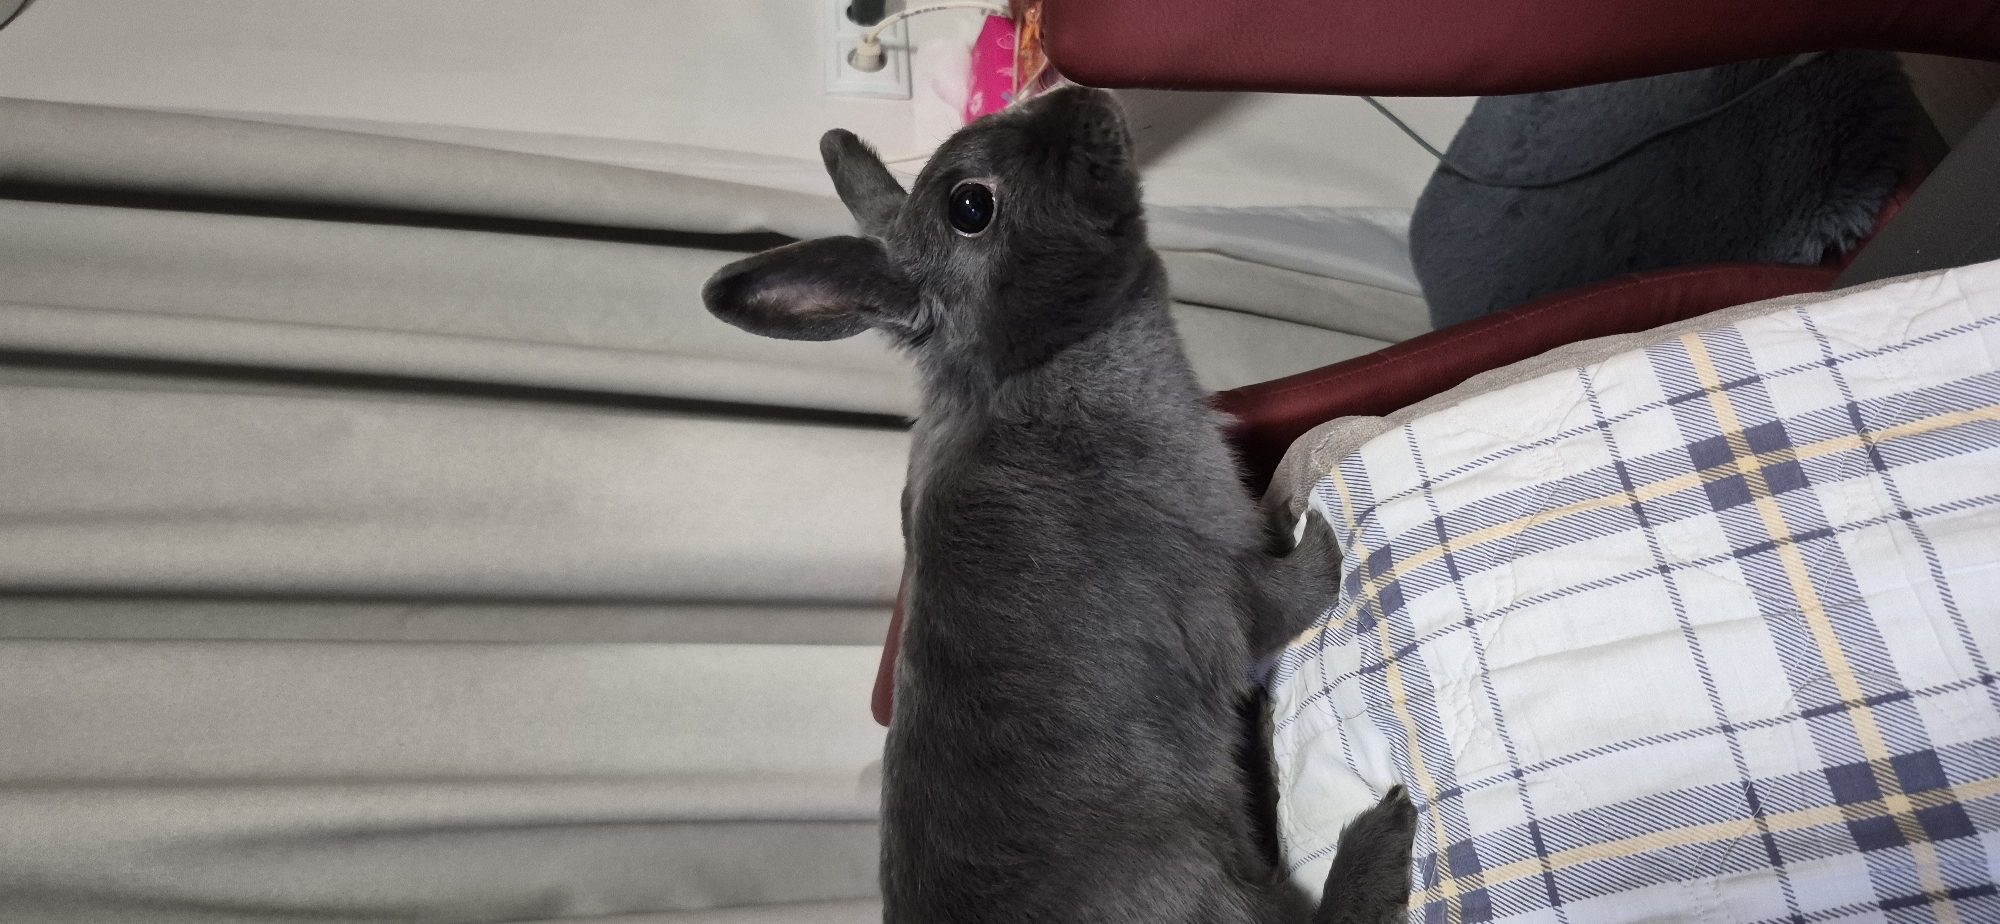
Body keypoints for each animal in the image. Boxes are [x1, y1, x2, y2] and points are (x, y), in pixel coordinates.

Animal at [702, 85, 1415, 924]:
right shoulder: (1221, 583)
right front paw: (1325, 528)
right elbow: (1299, 586)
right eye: (969, 207)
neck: (1035, 366)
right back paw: (1382, 834)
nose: (1080, 95)